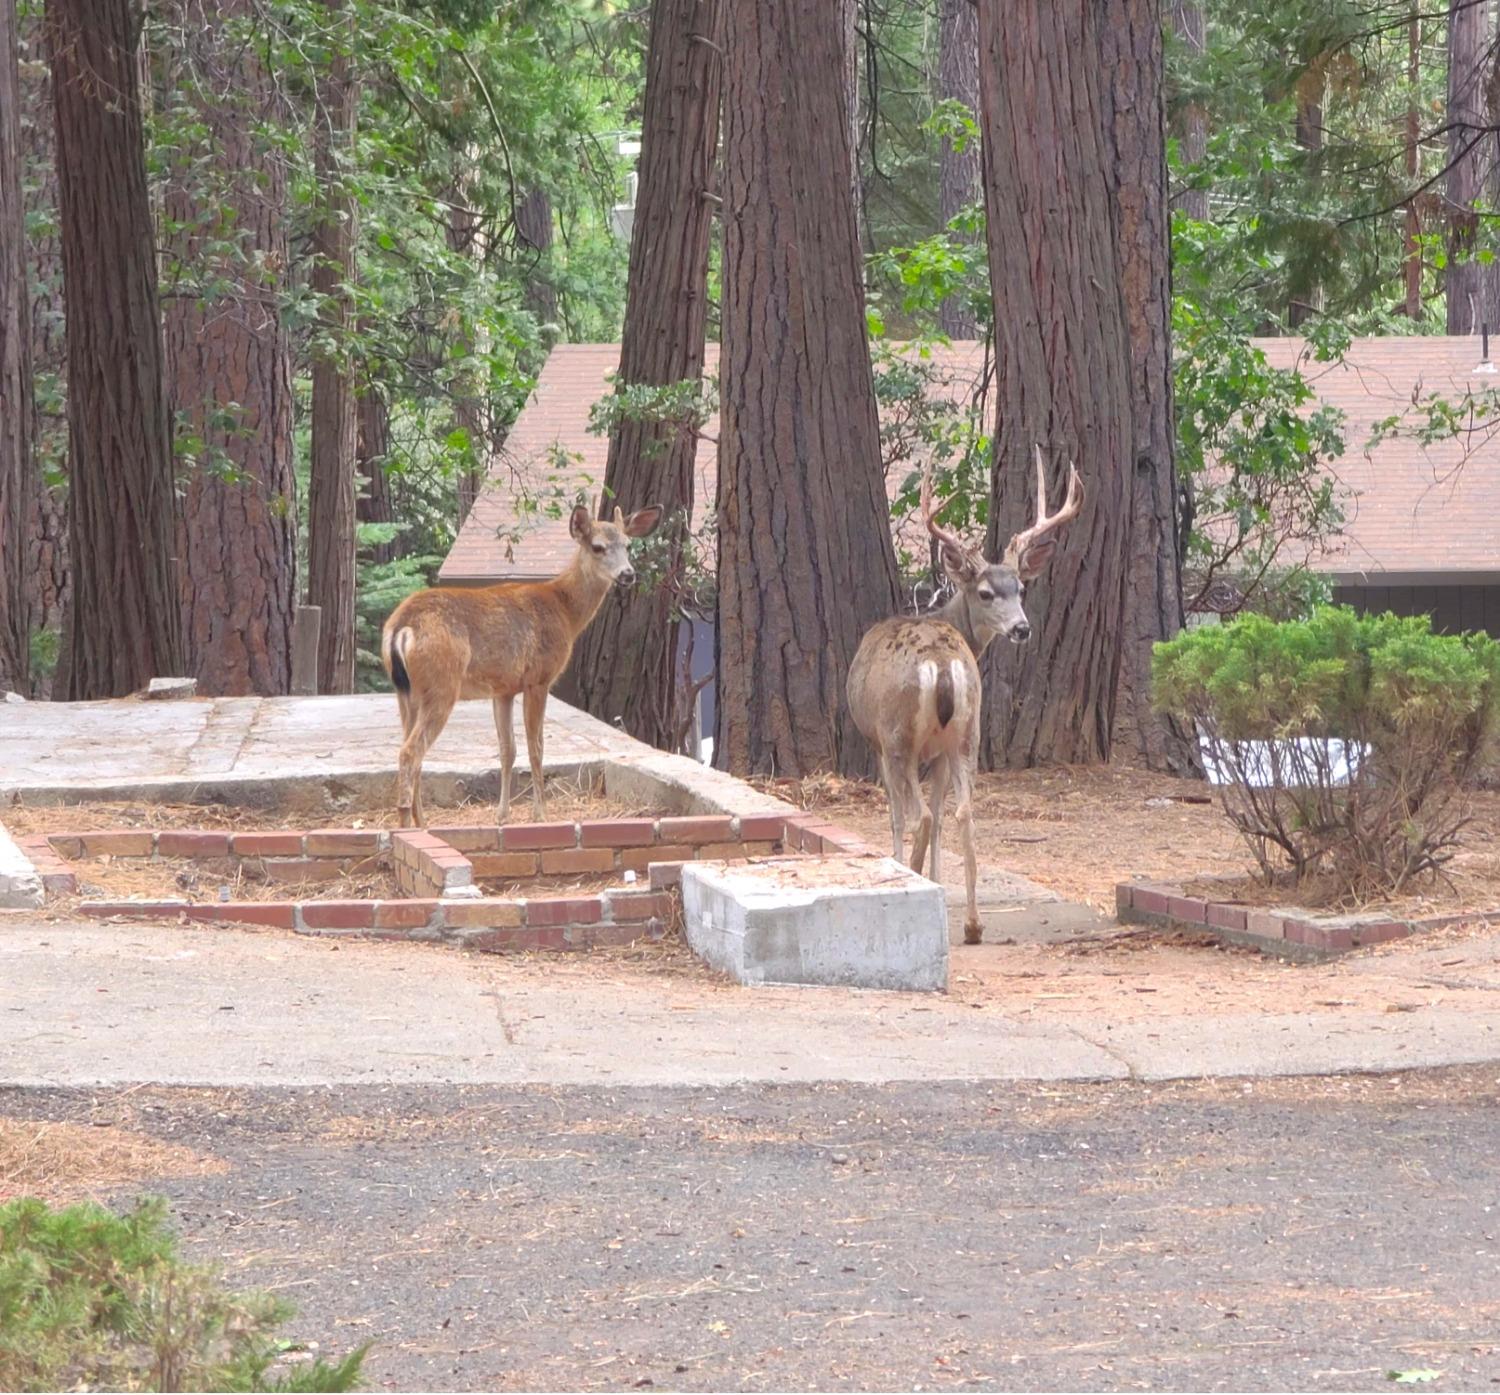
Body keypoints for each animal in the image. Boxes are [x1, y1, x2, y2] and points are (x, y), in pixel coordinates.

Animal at [384, 501, 666, 828]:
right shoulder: (539, 679)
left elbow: (508, 749)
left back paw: (423, 823)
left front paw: (502, 815)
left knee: (409, 750)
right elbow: (537, 747)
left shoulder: (503, 689)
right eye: (598, 547)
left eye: (628, 545)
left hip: (406, 691)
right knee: (410, 752)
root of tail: (402, 627)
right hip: (441, 684)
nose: (628, 574)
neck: (565, 611)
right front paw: (540, 814)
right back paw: (408, 826)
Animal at [852, 447, 1086, 948]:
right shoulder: (940, 750)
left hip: (899, 735)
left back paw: (914, 879)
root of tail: (941, 663)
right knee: (962, 812)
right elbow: (945, 815)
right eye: (987, 592)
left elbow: (897, 817)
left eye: (1020, 588)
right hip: (966, 733)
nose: (1022, 628)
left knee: (918, 814)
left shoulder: (877, 744)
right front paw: (940, 884)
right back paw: (974, 925)